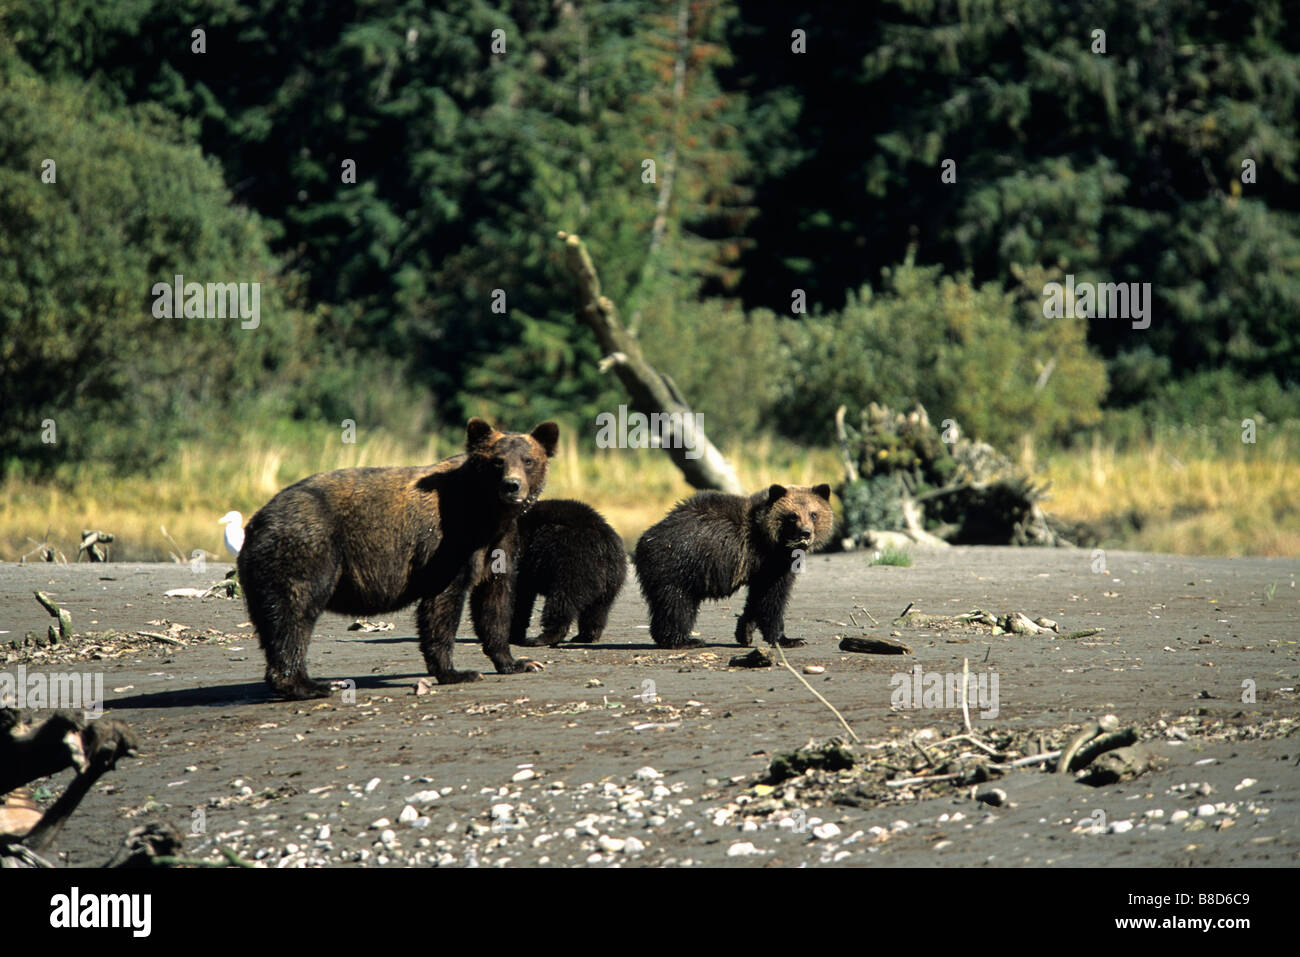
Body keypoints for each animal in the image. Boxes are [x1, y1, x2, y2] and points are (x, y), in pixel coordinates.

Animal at [239, 416, 559, 696]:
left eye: (528, 460)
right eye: (497, 461)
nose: (512, 486)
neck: (488, 512)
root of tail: (255, 521)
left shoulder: (499, 545)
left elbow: (495, 601)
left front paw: (518, 662)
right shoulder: (449, 542)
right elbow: (442, 602)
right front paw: (457, 672)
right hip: (306, 548)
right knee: (295, 611)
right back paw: (312, 685)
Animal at [509, 496, 626, 647]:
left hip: (571, 565)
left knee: (562, 601)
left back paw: (542, 638)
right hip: (611, 580)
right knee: (598, 608)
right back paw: (586, 636)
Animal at [631, 486, 832, 650]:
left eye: (813, 514)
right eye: (792, 516)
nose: (805, 533)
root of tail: (643, 541)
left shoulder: (761, 568)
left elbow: (757, 598)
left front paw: (745, 632)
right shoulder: (769, 561)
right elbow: (772, 600)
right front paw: (788, 639)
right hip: (677, 567)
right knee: (676, 604)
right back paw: (685, 640)